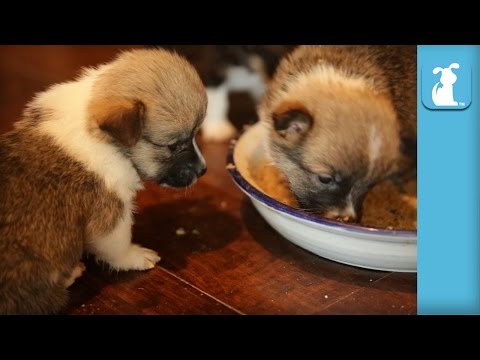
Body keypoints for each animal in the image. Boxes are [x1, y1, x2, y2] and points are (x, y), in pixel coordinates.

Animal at [0, 48, 207, 316]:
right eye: (174, 146)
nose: (204, 170)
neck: (102, 136)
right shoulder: (111, 215)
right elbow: (117, 245)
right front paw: (136, 256)